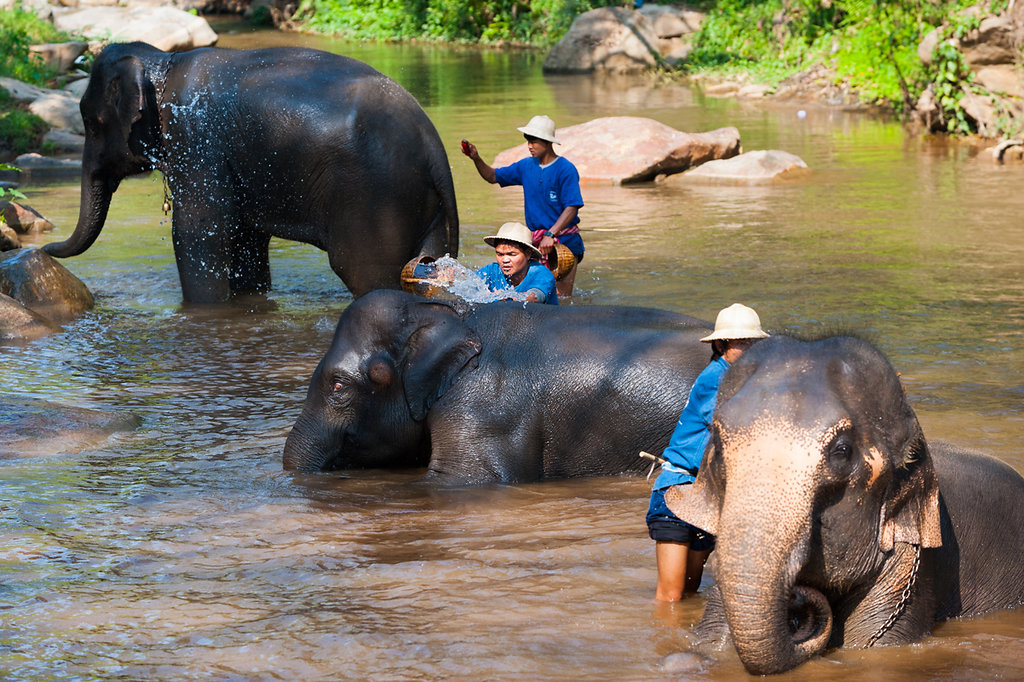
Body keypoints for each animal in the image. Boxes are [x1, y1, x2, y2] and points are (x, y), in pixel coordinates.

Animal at [40, 39, 456, 301]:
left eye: (91, 123)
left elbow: (198, 235)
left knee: (367, 275)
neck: (162, 62)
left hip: (376, 199)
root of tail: (434, 148)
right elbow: (245, 239)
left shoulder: (197, 141)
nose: (44, 248)